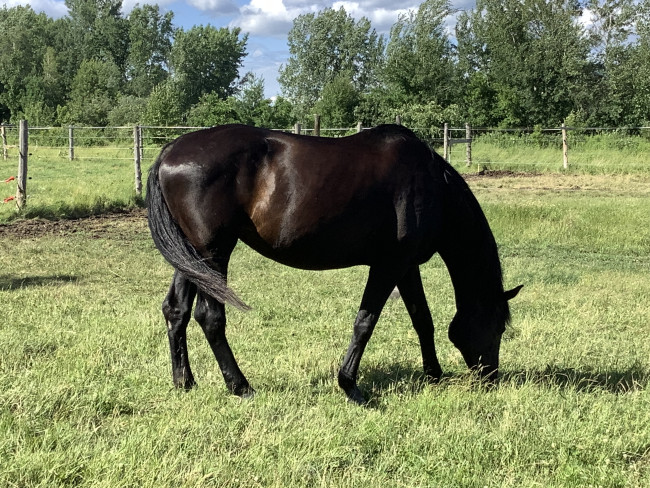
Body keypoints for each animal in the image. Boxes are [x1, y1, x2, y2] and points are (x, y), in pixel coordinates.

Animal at [147, 124, 520, 406]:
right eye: (498, 328)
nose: (491, 378)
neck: (433, 186)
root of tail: (171, 151)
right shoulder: (388, 264)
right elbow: (365, 322)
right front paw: (350, 386)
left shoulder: (406, 266)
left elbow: (422, 319)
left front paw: (434, 375)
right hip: (214, 253)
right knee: (210, 317)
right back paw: (241, 386)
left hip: (193, 257)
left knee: (176, 310)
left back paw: (184, 381)